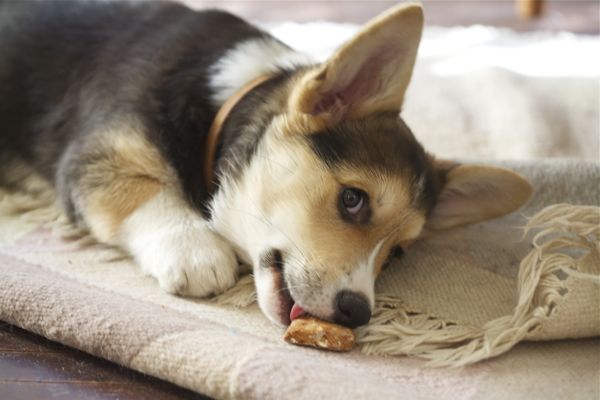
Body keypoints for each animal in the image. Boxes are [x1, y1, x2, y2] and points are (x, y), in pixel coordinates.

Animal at [2, 1, 532, 328]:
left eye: (399, 253)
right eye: (353, 199)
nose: (357, 313)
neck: (227, 102)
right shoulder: (96, 154)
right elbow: (142, 190)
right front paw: (195, 249)